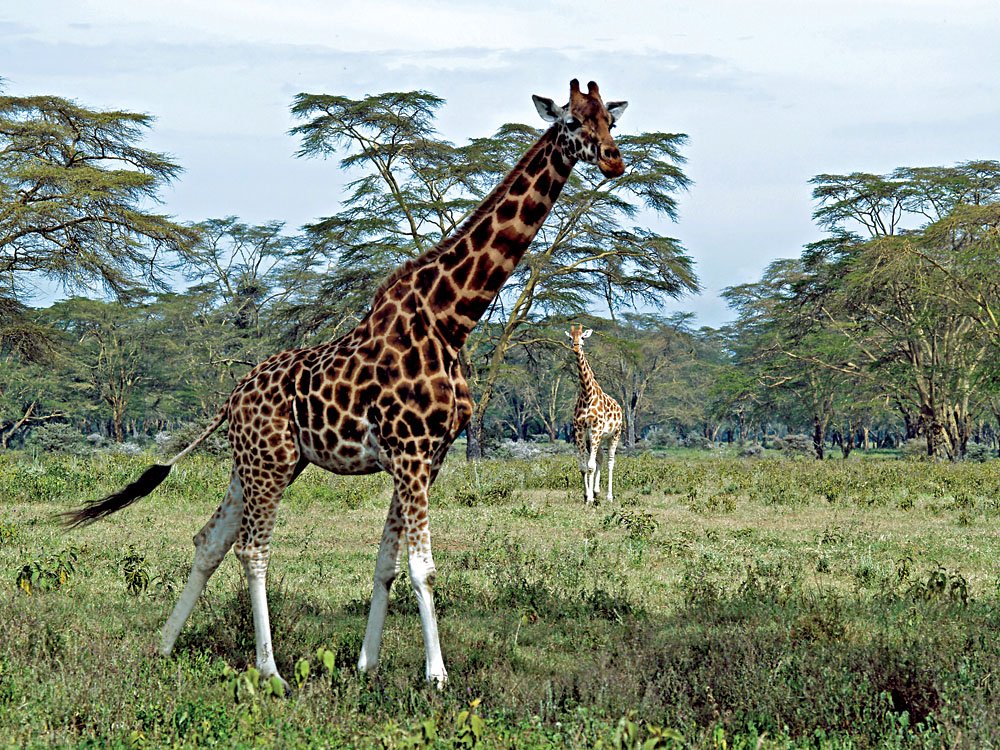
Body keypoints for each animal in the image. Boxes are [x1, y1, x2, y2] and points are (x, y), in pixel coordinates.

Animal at [567, 324, 623, 505]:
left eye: (583, 337)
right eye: (570, 337)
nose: (576, 347)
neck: (587, 394)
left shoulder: (597, 428)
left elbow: (590, 466)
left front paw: (590, 498)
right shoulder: (580, 430)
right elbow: (584, 467)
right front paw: (587, 495)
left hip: (614, 434)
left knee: (610, 461)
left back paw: (609, 496)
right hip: (594, 438)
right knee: (600, 458)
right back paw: (597, 491)